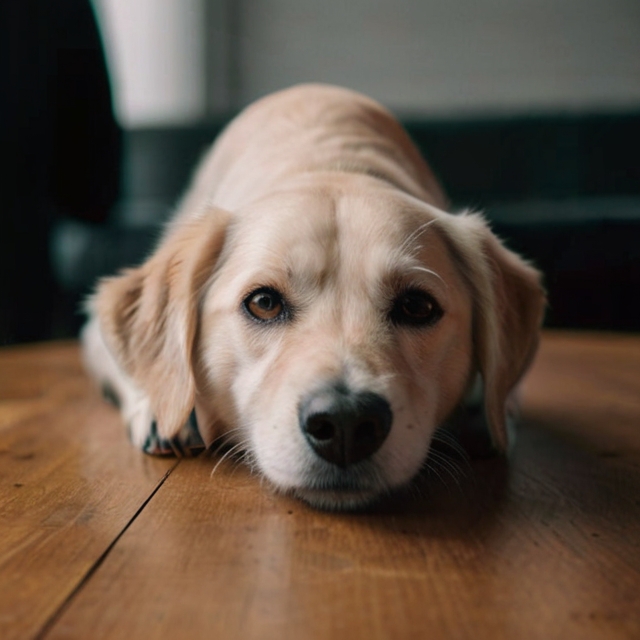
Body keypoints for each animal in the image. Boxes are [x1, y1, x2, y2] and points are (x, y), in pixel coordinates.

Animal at [82, 84, 544, 510]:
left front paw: (487, 416)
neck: (330, 164)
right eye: (263, 302)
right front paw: (163, 411)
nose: (345, 424)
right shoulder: (95, 334)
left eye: (417, 306)